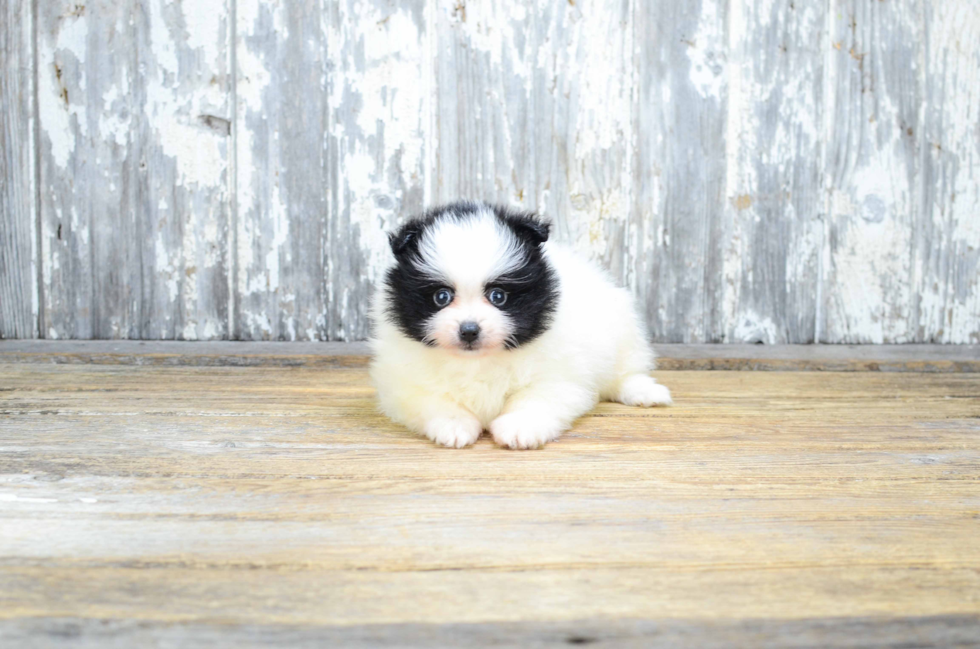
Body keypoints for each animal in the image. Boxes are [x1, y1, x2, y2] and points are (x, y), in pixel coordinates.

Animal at [370, 200, 672, 448]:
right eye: (441, 297)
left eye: (498, 296)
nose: (469, 330)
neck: (477, 361)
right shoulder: (405, 380)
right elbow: (434, 400)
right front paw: (454, 426)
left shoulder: (558, 372)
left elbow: (536, 397)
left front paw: (519, 428)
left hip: (621, 331)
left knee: (625, 372)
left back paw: (645, 391)